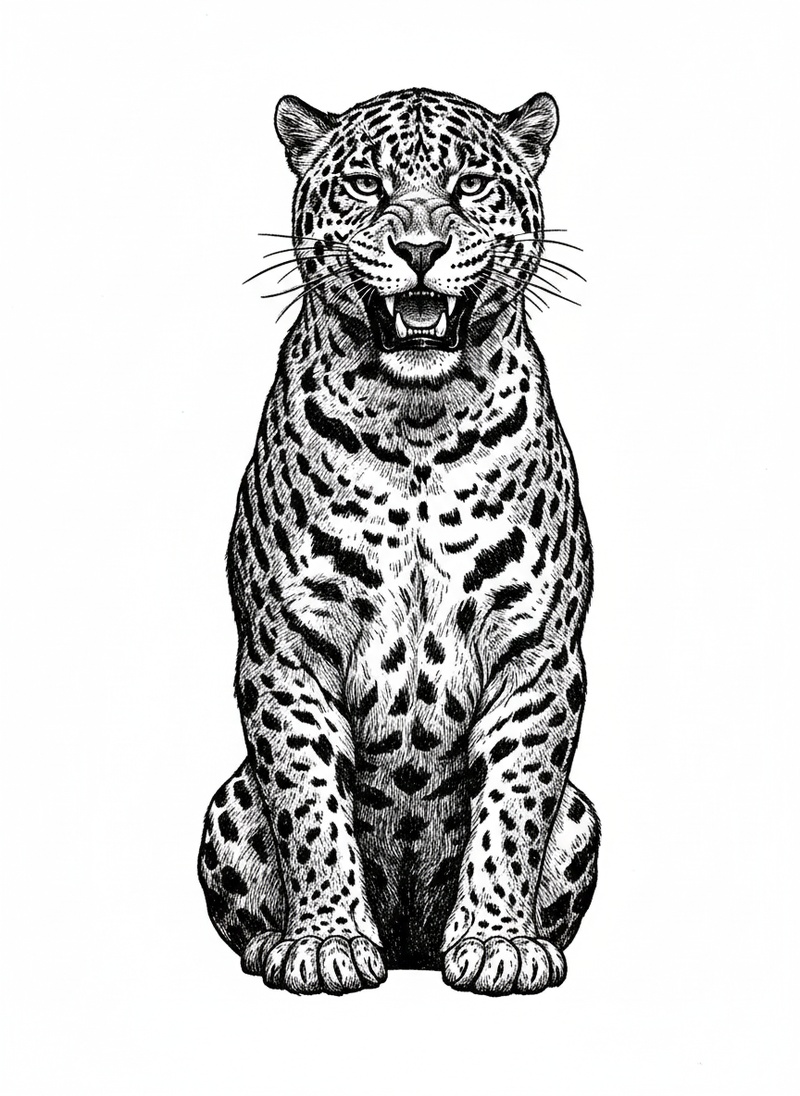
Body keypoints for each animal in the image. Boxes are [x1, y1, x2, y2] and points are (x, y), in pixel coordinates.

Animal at [198, 86, 600, 996]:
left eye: (470, 184)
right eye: (365, 186)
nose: (421, 246)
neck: (419, 424)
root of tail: (412, 946)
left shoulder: (539, 655)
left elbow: (515, 806)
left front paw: (499, 941)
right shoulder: (287, 651)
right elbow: (309, 807)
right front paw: (326, 942)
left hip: (585, 812)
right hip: (226, 801)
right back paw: (274, 944)